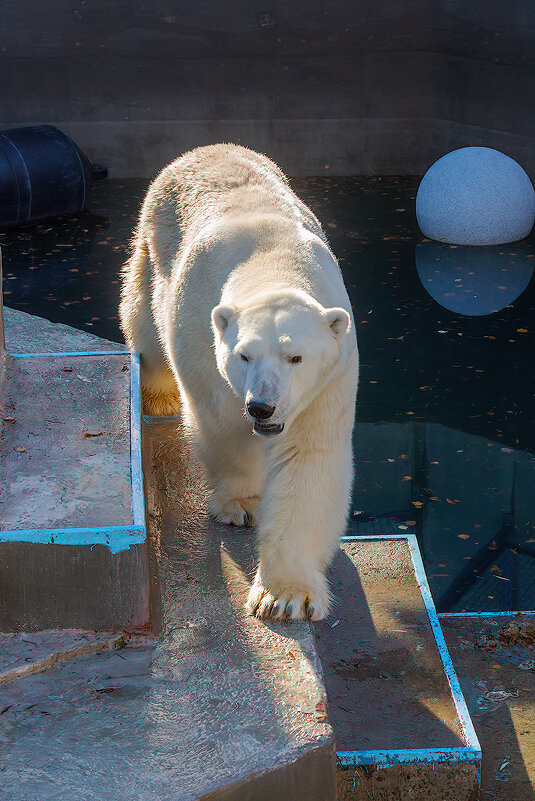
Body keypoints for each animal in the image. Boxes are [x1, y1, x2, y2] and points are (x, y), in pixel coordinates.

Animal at [119, 142, 358, 620]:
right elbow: (222, 421)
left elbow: (308, 456)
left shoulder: (330, 377)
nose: (261, 407)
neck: (272, 260)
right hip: (152, 246)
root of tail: (207, 148)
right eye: (244, 355)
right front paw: (243, 505)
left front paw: (285, 596)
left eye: (296, 357)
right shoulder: (201, 334)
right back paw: (157, 398)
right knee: (144, 325)